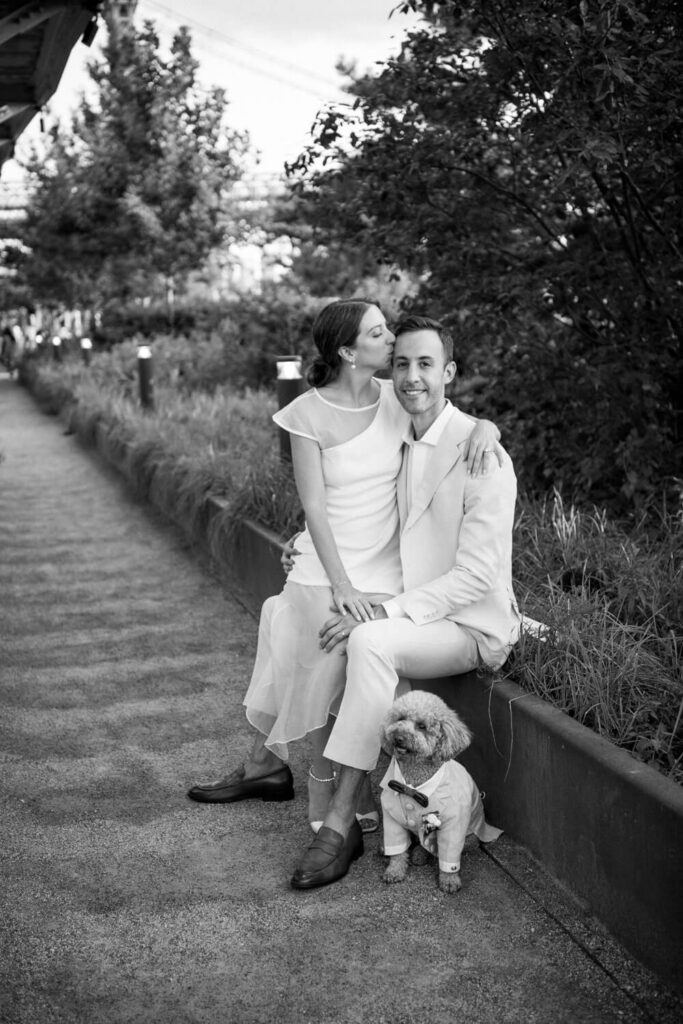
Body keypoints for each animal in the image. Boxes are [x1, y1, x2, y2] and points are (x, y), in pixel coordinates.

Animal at [378, 688, 501, 897]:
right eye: (400, 718)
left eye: (422, 726)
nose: (398, 737)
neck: (413, 784)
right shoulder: (391, 816)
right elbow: (398, 851)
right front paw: (394, 870)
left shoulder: (453, 826)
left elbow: (448, 856)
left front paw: (449, 881)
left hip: (469, 837)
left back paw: (420, 854)